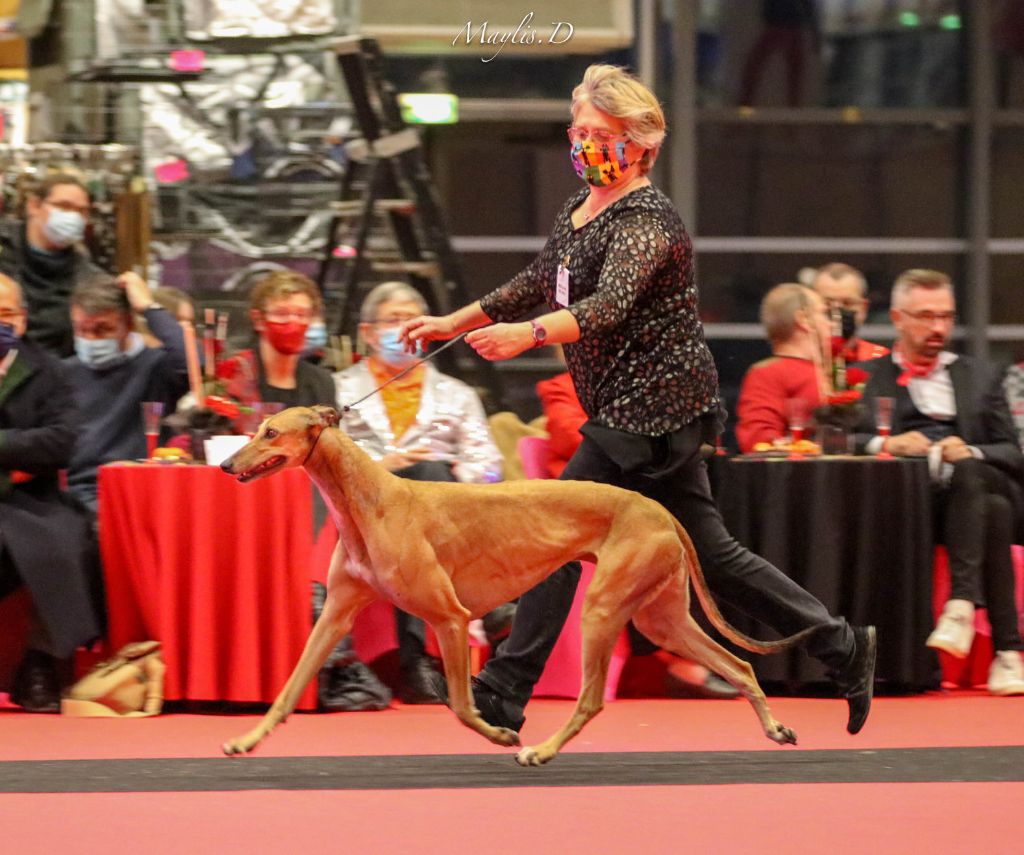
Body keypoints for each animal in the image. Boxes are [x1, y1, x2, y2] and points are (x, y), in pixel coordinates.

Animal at [220, 405, 811, 765]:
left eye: (270, 432)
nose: (226, 463)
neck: (370, 499)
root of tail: (659, 509)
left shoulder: (451, 618)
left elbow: (461, 706)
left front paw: (504, 734)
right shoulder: (337, 612)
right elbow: (289, 688)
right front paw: (246, 739)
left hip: (602, 610)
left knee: (591, 700)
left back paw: (542, 751)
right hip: (661, 617)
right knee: (738, 664)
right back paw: (776, 728)